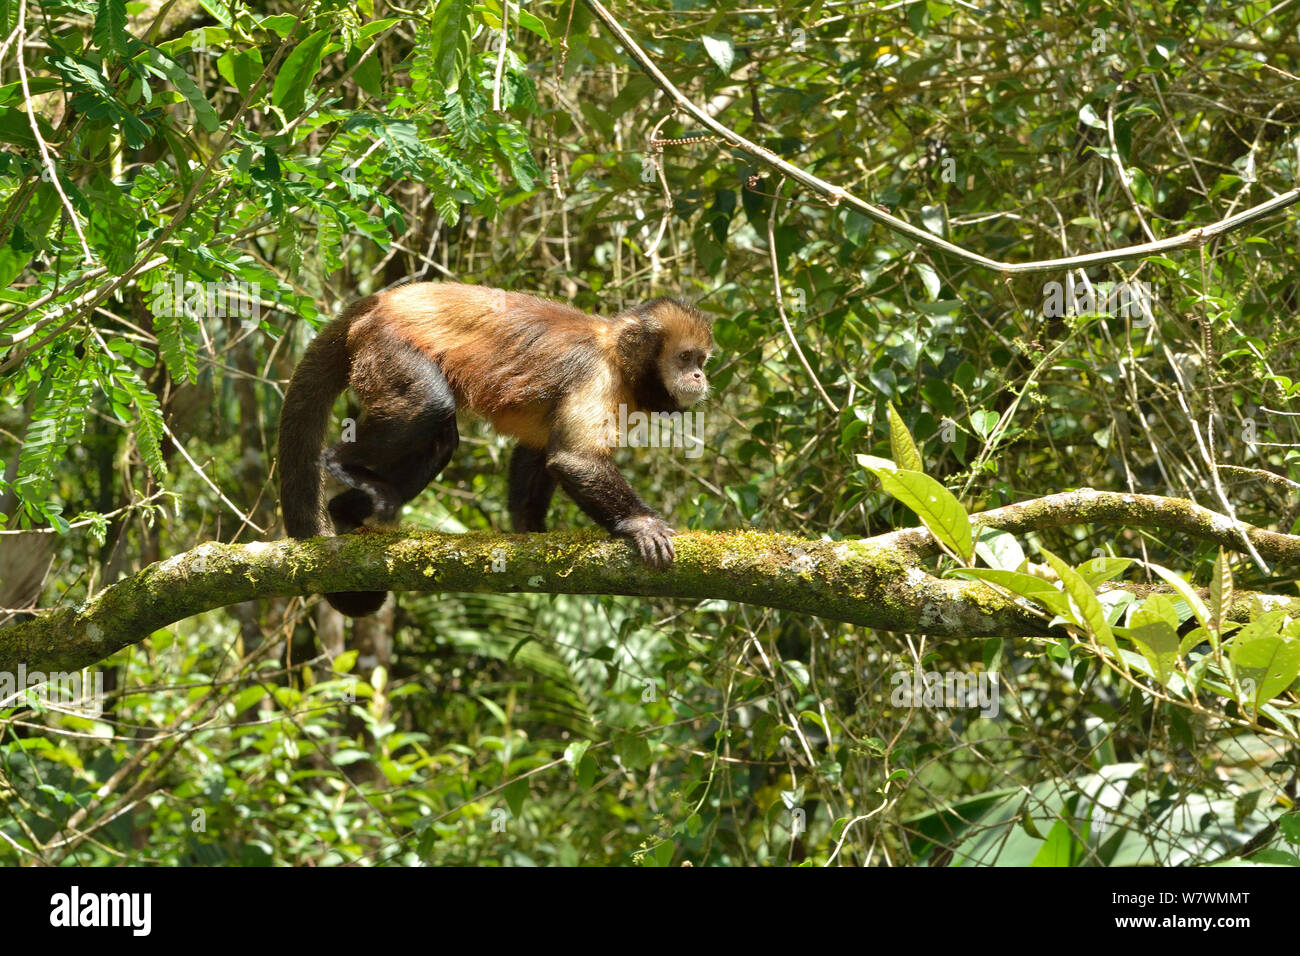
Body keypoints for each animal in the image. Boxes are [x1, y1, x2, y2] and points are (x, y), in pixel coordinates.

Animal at [277, 282, 713, 617]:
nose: (699, 376)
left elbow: (540, 451)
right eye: (684, 358)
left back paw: (345, 511)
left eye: (702, 360)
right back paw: (340, 463)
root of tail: (382, 301)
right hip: (385, 345)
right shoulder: (597, 375)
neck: (619, 358)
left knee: (441, 440)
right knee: (428, 405)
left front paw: (531, 532)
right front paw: (641, 524)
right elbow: (574, 459)